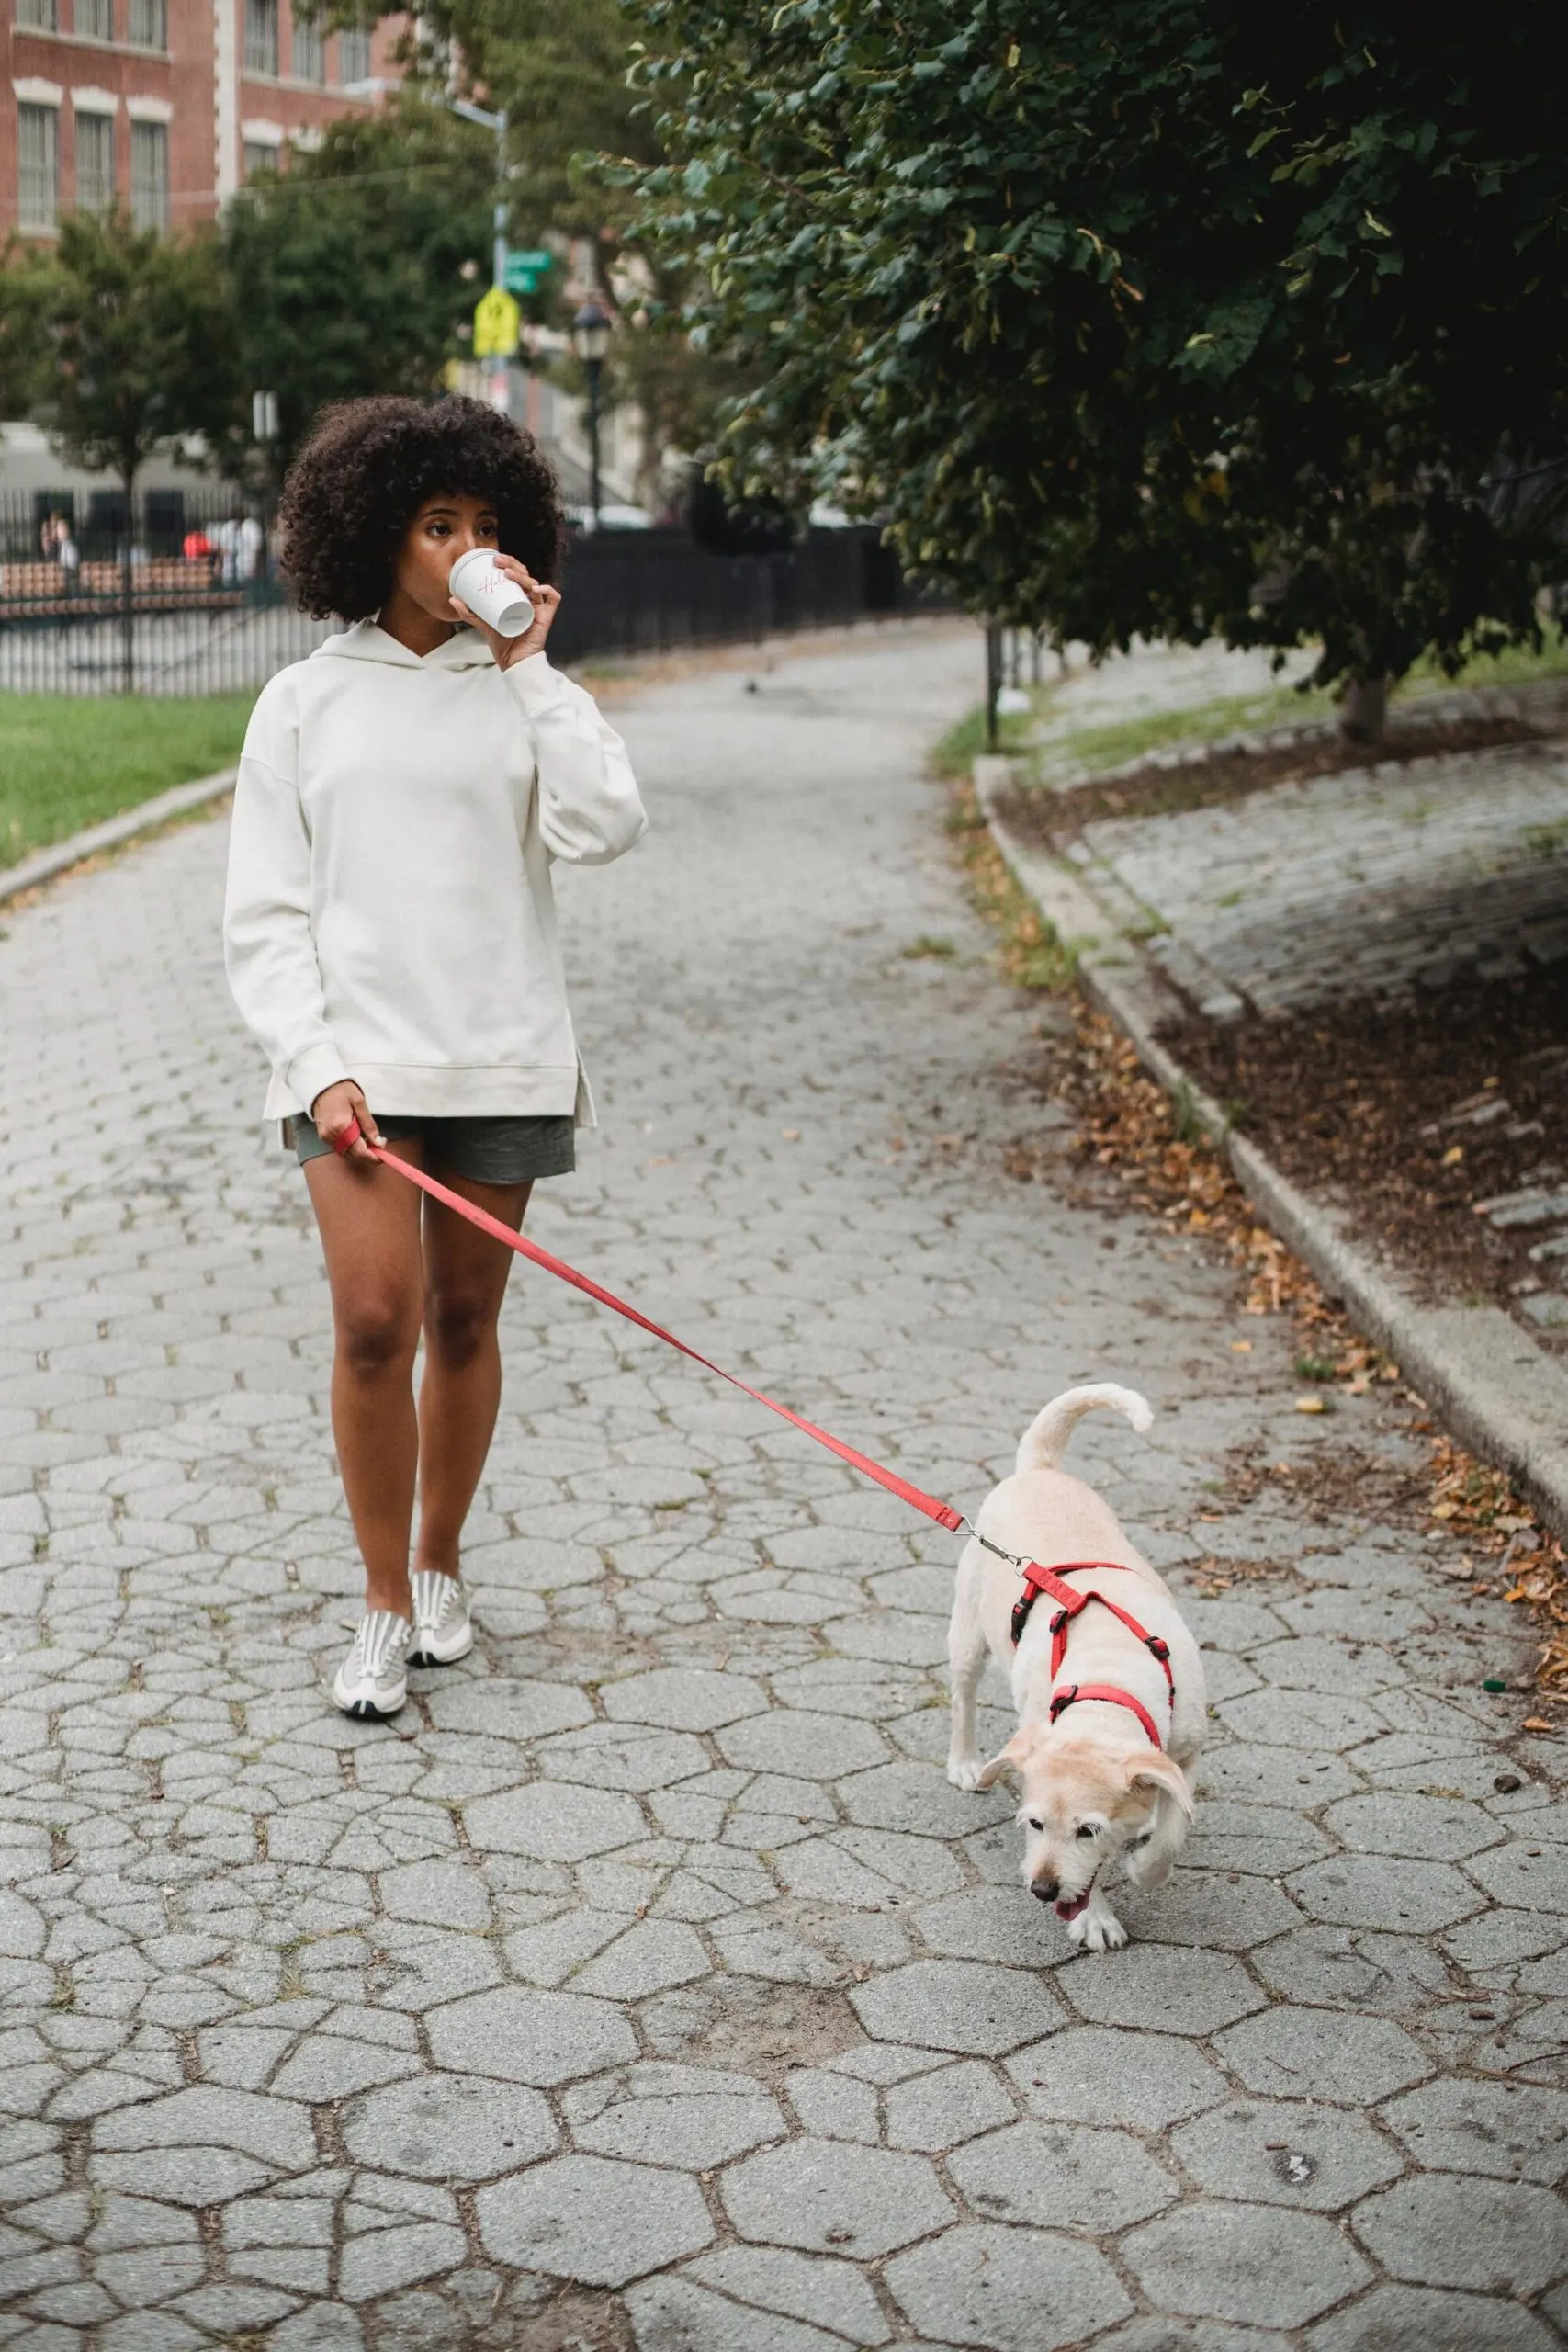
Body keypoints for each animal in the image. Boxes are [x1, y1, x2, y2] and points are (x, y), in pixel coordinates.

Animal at [949, 1383, 1213, 1956]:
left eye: (1088, 1831)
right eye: (1034, 1823)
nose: (1043, 1890)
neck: (1108, 1683)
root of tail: (1039, 1469)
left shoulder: (1186, 1751)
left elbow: (1173, 1828)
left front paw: (1146, 1865)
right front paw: (1095, 1919)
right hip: (968, 1632)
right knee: (962, 1696)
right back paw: (965, 1762)